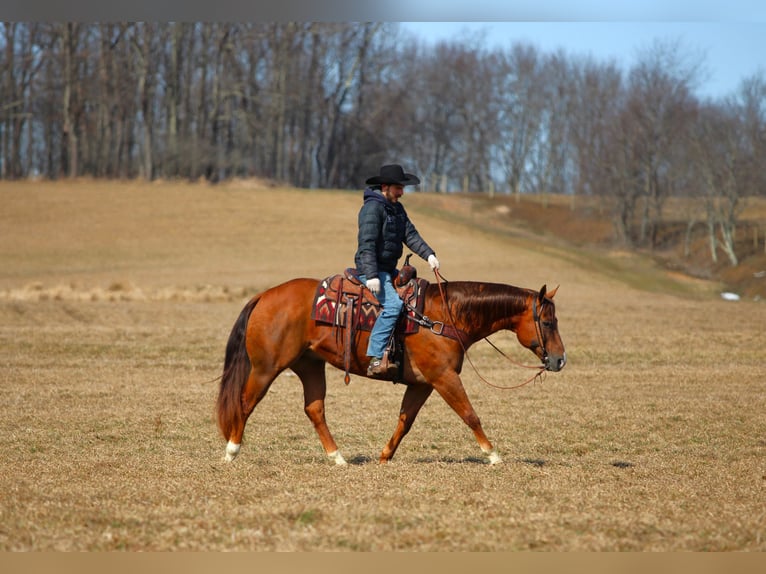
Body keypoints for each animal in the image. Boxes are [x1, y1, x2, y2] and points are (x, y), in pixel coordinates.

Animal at [216, 274, 566, 465]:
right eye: (548, 322)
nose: (559, 359)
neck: (445, 317)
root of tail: (264, 295)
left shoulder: (423, 383)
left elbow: (405, 421)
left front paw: (384, 456)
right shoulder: (443, 377)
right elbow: (470, 415)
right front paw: (493, 454)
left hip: (310, 366)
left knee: (314, 409)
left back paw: (338, 458)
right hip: (266, 367)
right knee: (245, 402)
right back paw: (231, 452)